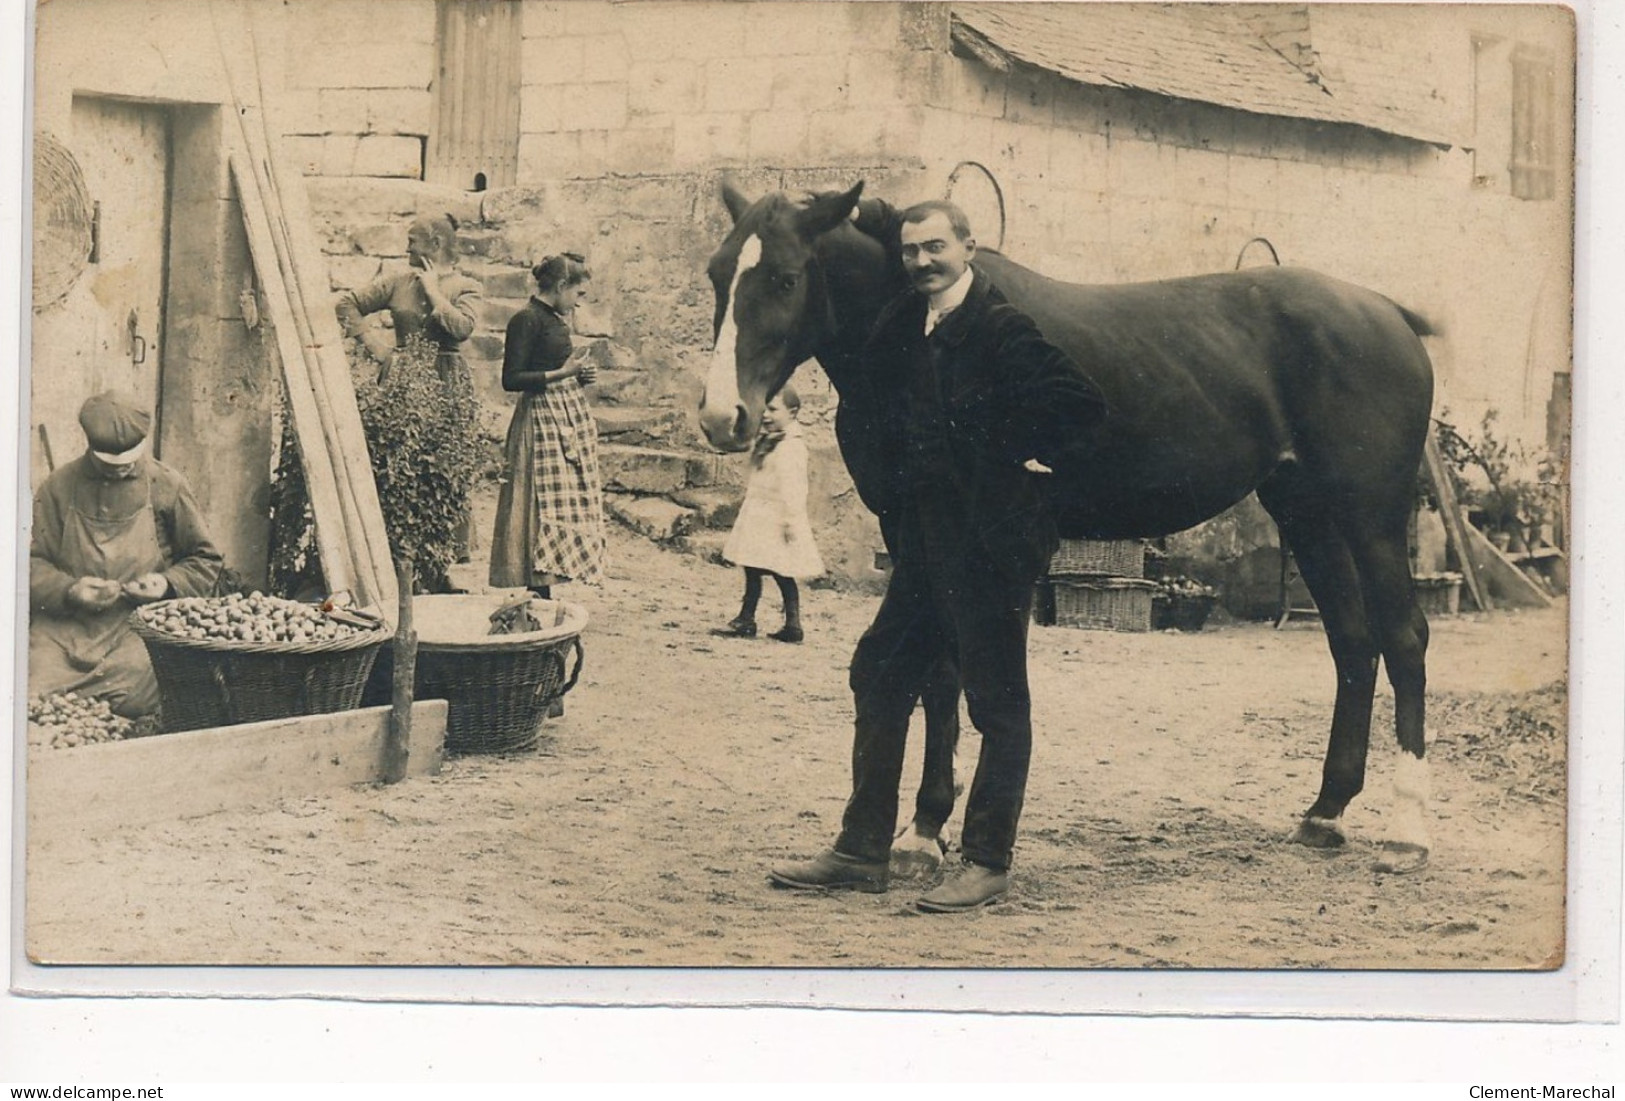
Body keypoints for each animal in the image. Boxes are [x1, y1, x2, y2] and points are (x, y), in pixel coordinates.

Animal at [705, 178, 1443, 870]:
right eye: (717, 273)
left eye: (785, 277)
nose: (721, 417)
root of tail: (1386, 311)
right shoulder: (909, 529)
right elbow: (936, 670)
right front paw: (922, 829)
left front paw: (927, 828)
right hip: (1307, 513)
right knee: (1352, 643)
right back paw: (1326, 811)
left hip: (1370, 516)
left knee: (1404, 639)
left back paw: (1407, 829)